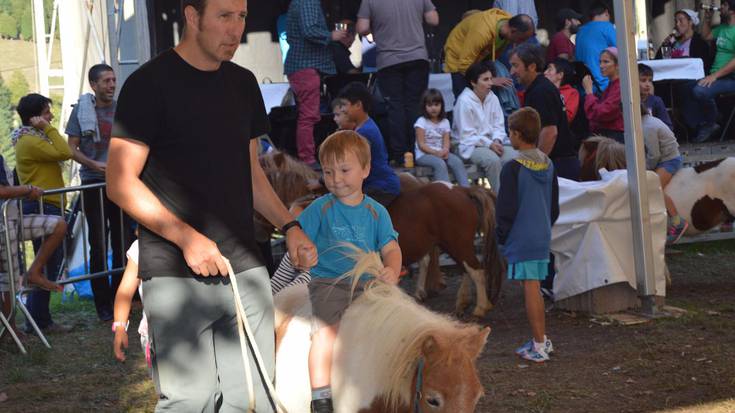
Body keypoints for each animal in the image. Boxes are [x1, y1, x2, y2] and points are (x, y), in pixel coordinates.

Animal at [258, 151, 506, 318]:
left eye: (267, 177)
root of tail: (463, 190)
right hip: (453, 243)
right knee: (463, 269)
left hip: (457, 242)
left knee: (476, 270)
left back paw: (480, 307)